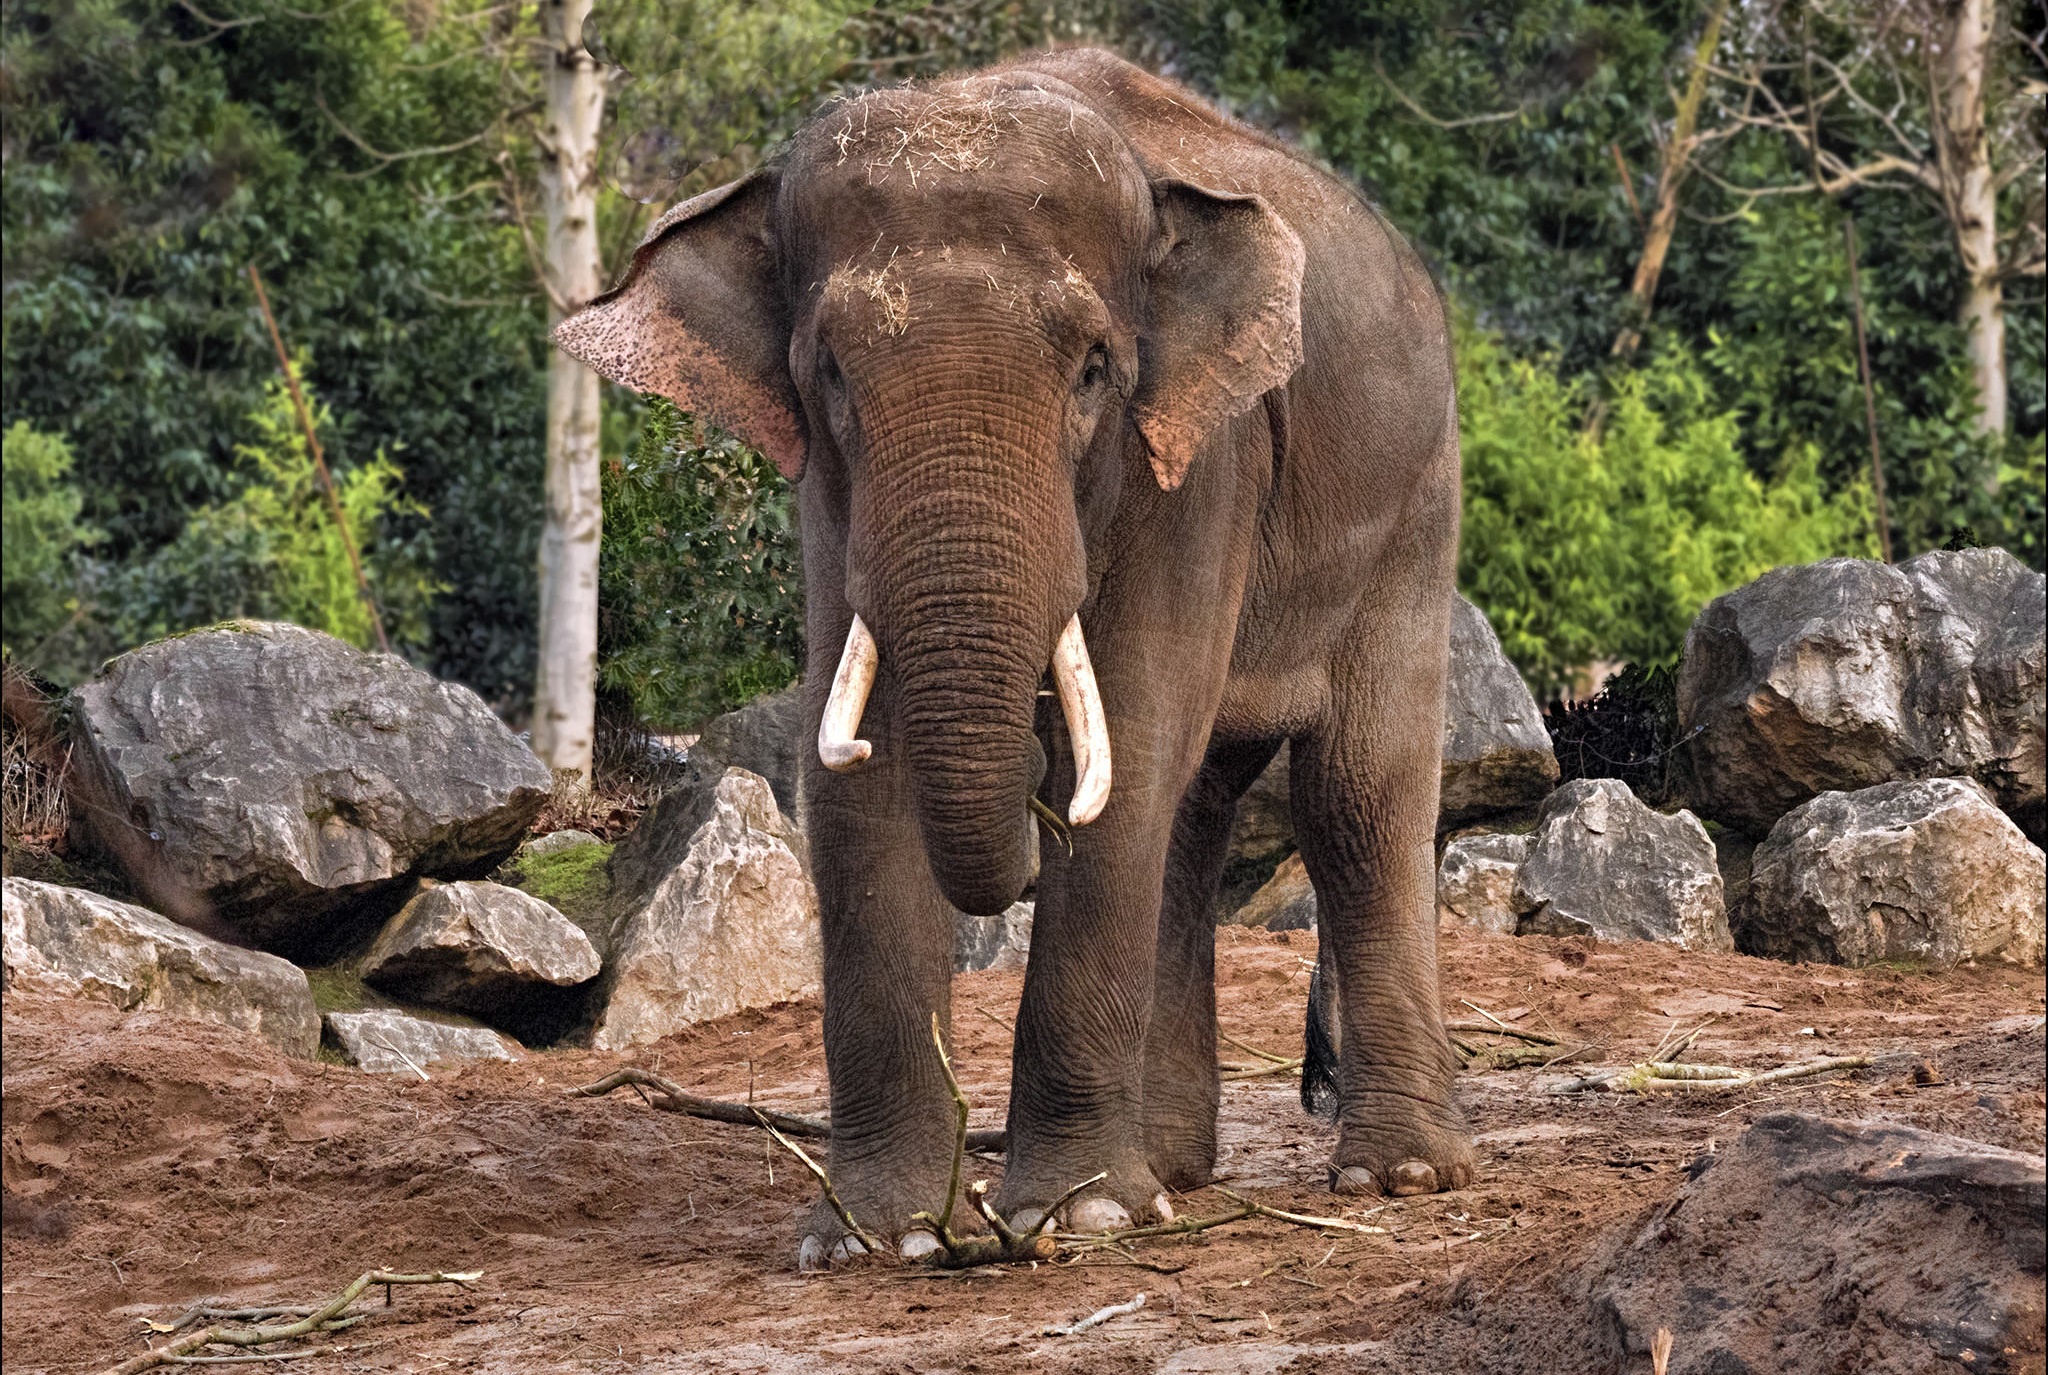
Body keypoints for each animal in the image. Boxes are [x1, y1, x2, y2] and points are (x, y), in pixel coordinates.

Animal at [552, 45, 1466, 1270]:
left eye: (1092, 369)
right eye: (828, 371)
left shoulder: (1198, 455)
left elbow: (1128, 747)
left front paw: (1076, 1220)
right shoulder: (828, 497)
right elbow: (860, 780)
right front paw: (878, 1241)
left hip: (1415, 500)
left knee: (1351, 795)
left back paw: (1393, 1175)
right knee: (1193, 814)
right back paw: (1172, 1173)